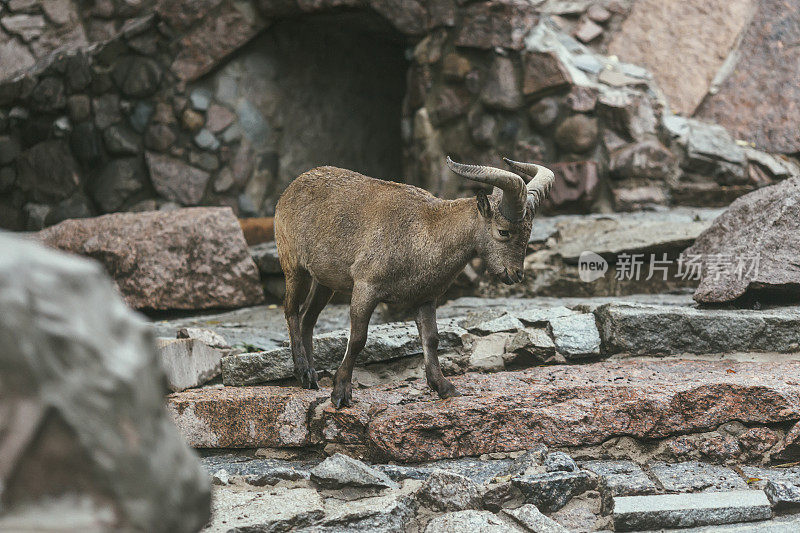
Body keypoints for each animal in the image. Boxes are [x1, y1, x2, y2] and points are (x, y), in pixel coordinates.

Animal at [274, 156, 552, 406]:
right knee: (291, 310)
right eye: (503, 231)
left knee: (308, 317)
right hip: (294, 265)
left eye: (529, 232)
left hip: (325, 281)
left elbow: (431, 339)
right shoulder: (366, 287)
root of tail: (292, 187)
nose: (515, 274)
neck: (426, 230)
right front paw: (341, 393)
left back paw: (311, 377)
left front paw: (444, 387)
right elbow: (358, 339)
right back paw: (304, 372)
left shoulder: (424, 297)